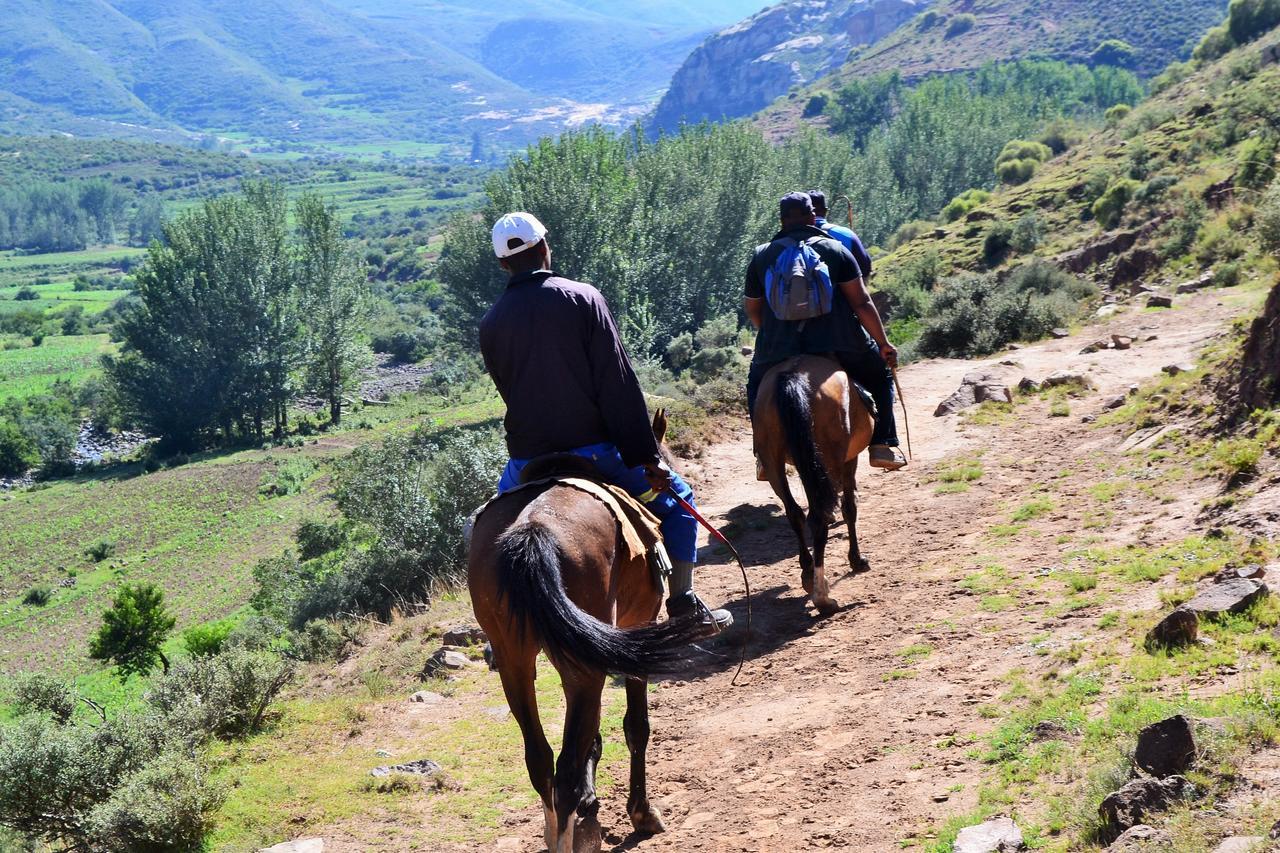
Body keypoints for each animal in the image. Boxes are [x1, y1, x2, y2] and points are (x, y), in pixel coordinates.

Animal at [468, 412, 711, 850]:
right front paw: (641, 813)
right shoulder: (637, 624)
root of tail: (532, 529)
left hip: (516, 660)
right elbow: (636, 726)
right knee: (562, 771)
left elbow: (590, 737)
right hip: (585, 661)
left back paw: (557, 830)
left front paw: (591, 805)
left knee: (540, 762)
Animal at [752, 350, 875, 612]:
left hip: (774, 460)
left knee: (795, 514)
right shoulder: (850, 460)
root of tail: (793, 376)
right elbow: (850, 507)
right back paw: (823, 597)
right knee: (819, 518)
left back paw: (808, 575)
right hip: (829, 457)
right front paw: (857, 560)